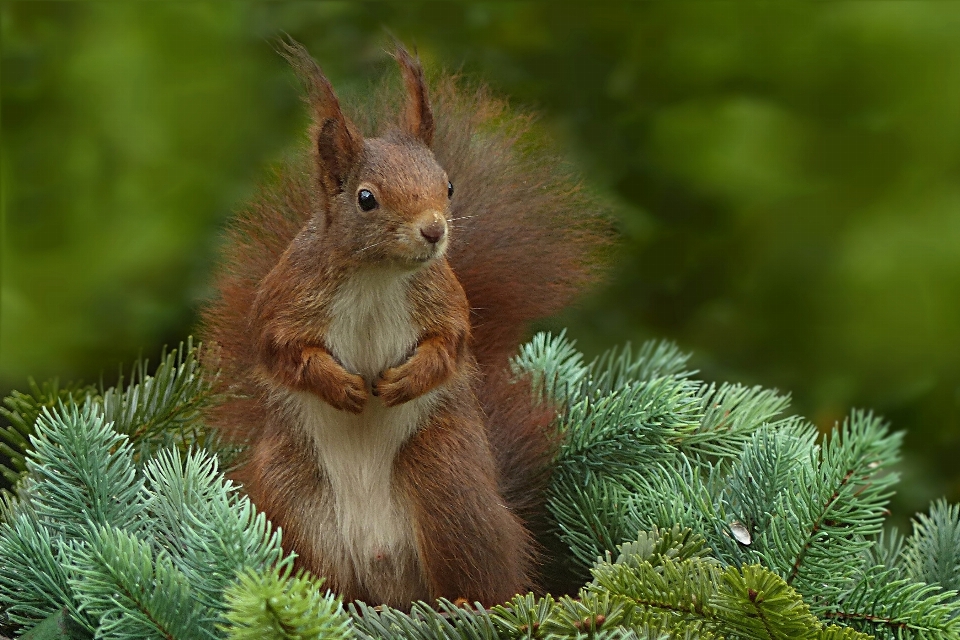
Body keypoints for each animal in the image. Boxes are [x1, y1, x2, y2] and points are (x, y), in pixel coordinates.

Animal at [202, 42, 604, 608]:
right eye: (366, 198)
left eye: (449, 185)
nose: (434, 231)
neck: (378, 276)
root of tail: (385, 579)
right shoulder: (284, 300)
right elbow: (282, 351)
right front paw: (340, 385)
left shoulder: (446, 301)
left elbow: (450, 346)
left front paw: (406, 380)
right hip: (294, 507)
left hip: (448, 488)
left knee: (484, 577)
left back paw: (465, 604)